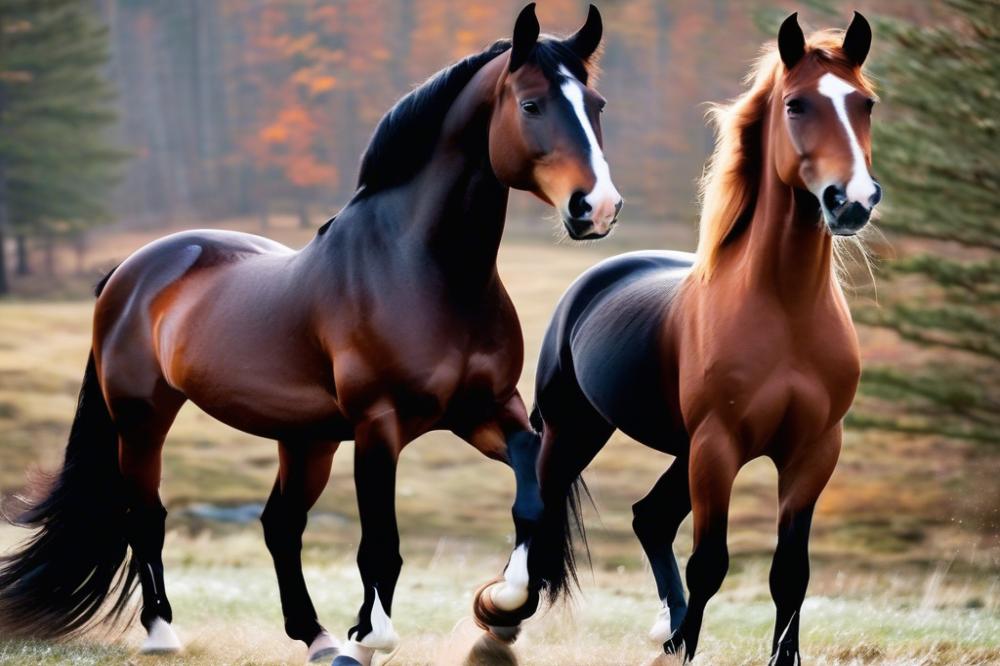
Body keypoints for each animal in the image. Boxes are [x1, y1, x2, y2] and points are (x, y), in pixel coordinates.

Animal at [0, 5, 622, 665]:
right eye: (530, 104)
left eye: (596, 103)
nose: (597, 207)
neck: (422, 271)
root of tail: (129, 270)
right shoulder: (380, 424)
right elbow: (381, 545)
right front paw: (371, 637)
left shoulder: (486, 411)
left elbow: (531, 492)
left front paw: (501, 610)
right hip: (144, 418)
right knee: (146, 513)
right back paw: (164, 633)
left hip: (306, 440)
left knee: (280, 525)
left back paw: (316, 637)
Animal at [473, 12, 881, 665]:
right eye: (796, 104)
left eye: (864, 104)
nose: (853, 201)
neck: (785, 311)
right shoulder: (719, 447)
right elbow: (710, 562)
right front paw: (686, 646)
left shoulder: (813, 452)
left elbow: (791, 573)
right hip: (577, 430)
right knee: (542, 511)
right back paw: (513, 612)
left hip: (679, 449)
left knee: (650, 518)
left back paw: (666, 625)